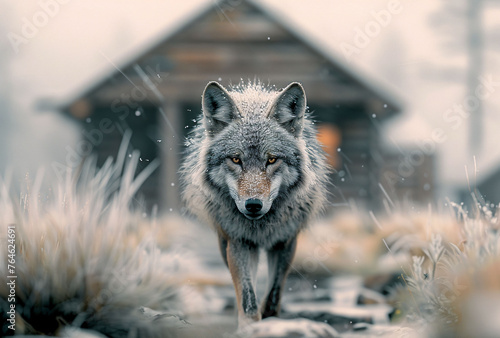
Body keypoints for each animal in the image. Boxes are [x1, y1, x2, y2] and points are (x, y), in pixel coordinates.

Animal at [180, 80, 328, 326]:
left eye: (272, 159)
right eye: (235, 159)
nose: (253, 205)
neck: (261, 227)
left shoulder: (286, 242)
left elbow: (273, 296)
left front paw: (270, 322)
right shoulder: (238, 242)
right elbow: (247, 299)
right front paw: (249, 325)